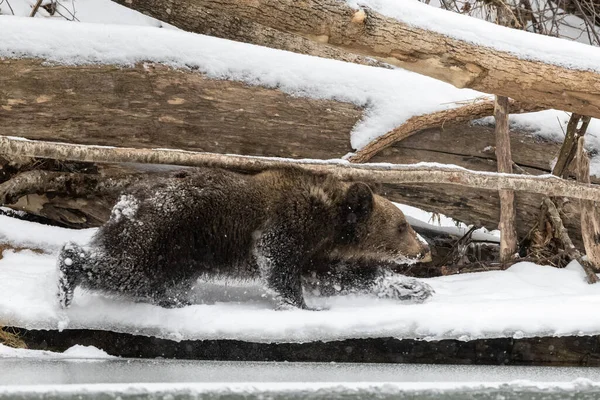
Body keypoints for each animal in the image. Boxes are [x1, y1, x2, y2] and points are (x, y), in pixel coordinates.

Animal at [56, 166, 434, 310]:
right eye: (402, 225)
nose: (425, 249)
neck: (331, 227)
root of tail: (124, 202)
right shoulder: (288, 224)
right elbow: (278, 263)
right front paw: (304, 305)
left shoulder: (320, 254)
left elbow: (348, 274)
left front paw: (413, 288)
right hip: (165, 234)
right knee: (128, 270)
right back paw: (67, 276)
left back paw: (175, 299)